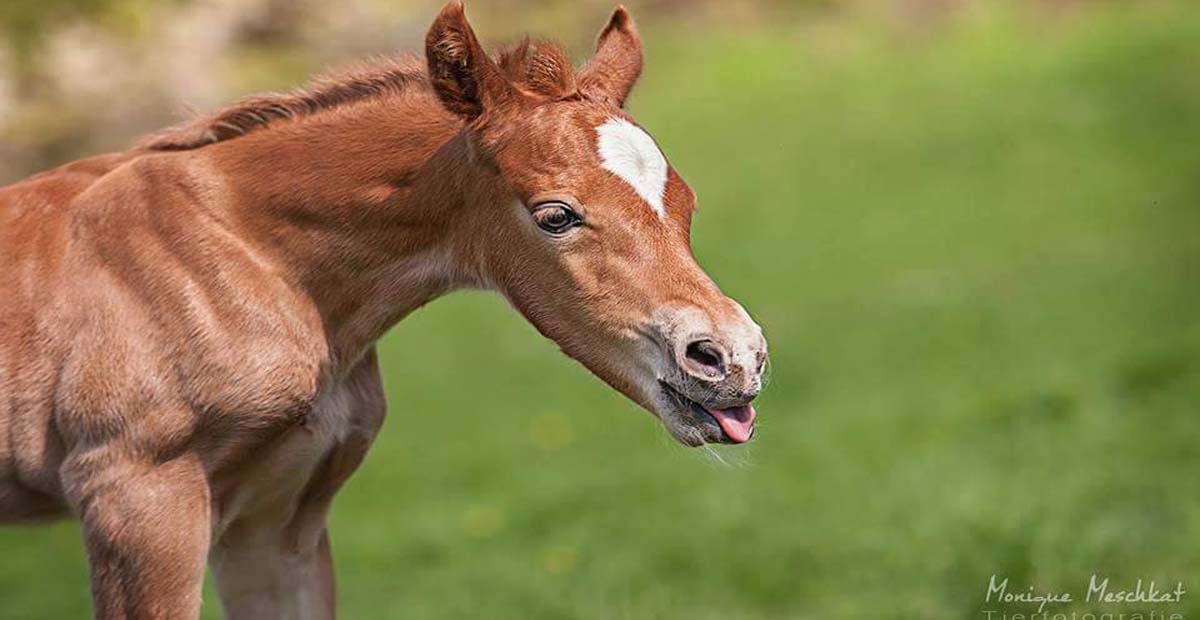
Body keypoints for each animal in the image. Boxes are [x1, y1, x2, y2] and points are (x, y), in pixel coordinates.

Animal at [0, 2, 768, 614]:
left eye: (685, 202)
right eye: (556, 215)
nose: (732, 357)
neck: (255, 260)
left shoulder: (274, 524)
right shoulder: (134, 500)